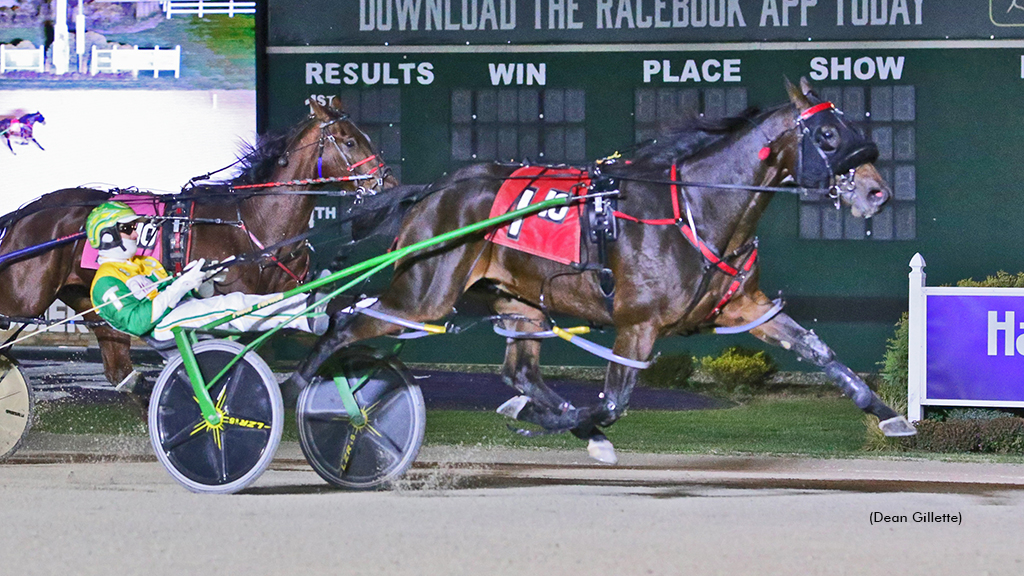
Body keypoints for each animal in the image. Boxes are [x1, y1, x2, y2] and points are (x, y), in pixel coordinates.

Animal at [0, 100, 395, 389]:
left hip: (88, 296)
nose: (387, 182)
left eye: (364, 135)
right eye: (349, 141)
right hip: (24, 297)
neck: (254, 220)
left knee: (119, 366)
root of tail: (29, 210)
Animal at [290, 78, 921, 459]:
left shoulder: (745, 306)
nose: (877, 192)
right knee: (344, 325)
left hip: (520, 303)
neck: (696, 206)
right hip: (423, 293)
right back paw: (298, 390)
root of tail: (435, 190)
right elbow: (615, 402)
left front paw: (889, 416)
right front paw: (566, 422)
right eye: (829, 133)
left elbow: (818, 350)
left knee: (520, 371)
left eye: (857, 127)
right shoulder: (637, 324)